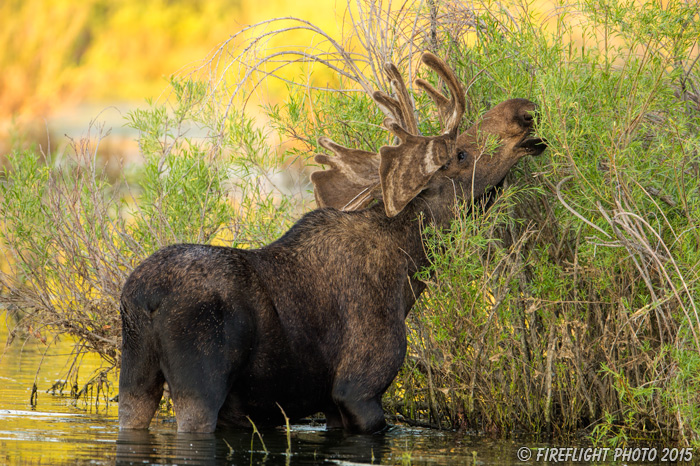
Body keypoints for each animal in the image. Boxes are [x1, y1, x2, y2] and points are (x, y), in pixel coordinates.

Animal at [119, 52, 548, 436]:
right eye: (461, 154)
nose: (524, 111)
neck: (409, 274)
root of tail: (143, 297)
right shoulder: (359, 390)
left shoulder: (330, 407)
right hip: (201, 386)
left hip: (135, 379)